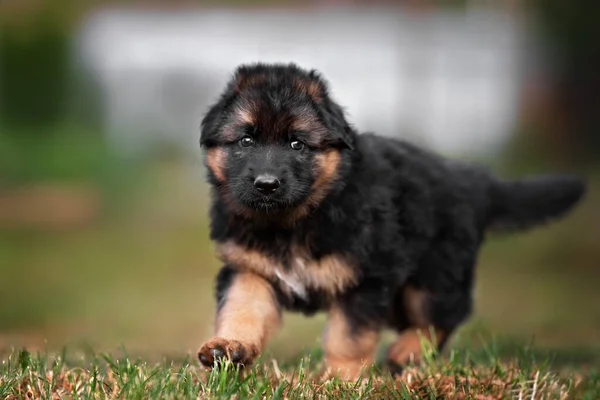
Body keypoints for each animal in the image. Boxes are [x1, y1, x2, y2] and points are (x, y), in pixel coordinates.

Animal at [196, 63, 584, 382]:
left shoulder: (367, 277)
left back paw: (406, 352)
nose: (266, 184)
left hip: (433, 277)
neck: (293, 220)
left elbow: (348, 337)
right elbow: (242, 310)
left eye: (297, 144)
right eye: (246, 140)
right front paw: (228, 347)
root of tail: (474, 181)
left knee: (444, 315)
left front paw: (340, 378)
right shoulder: (249, 269)